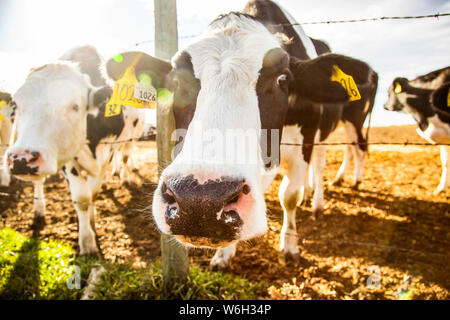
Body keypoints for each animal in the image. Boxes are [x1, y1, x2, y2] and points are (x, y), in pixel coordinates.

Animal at [5, 45, 128, 255]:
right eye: (16, 104)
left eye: (75, 106)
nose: (20, 159)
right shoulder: (68, 160)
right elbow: (82, 199)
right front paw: (87, 243)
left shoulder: (108, 155)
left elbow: (93, 194)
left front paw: (92, 224)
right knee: (38, 182)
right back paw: (39, 212)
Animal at [106, 0, 376, 268]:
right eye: (176, 81)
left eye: (282, 79)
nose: (199, 201)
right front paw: (223, 256)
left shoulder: (304, 142)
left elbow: (289, 195)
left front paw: (289, 246)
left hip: (342, 125)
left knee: (330, 159)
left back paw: (322, 200)